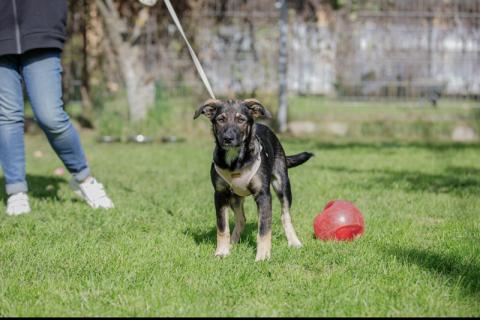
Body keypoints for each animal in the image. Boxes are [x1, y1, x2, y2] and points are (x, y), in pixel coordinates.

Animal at [193, 99, 314, 262]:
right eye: (220, 119)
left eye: (241, 120)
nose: (228, 138)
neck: (235, 161)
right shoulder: (220, 194)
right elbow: (222, 227)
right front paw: (222, 252)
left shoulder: (263, 195)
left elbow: (264, 229)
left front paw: (263, 256)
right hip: (235, 197)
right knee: (241, 219)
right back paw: (233, 243)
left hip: (282, 185)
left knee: (285, 215)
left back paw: (294, 242)